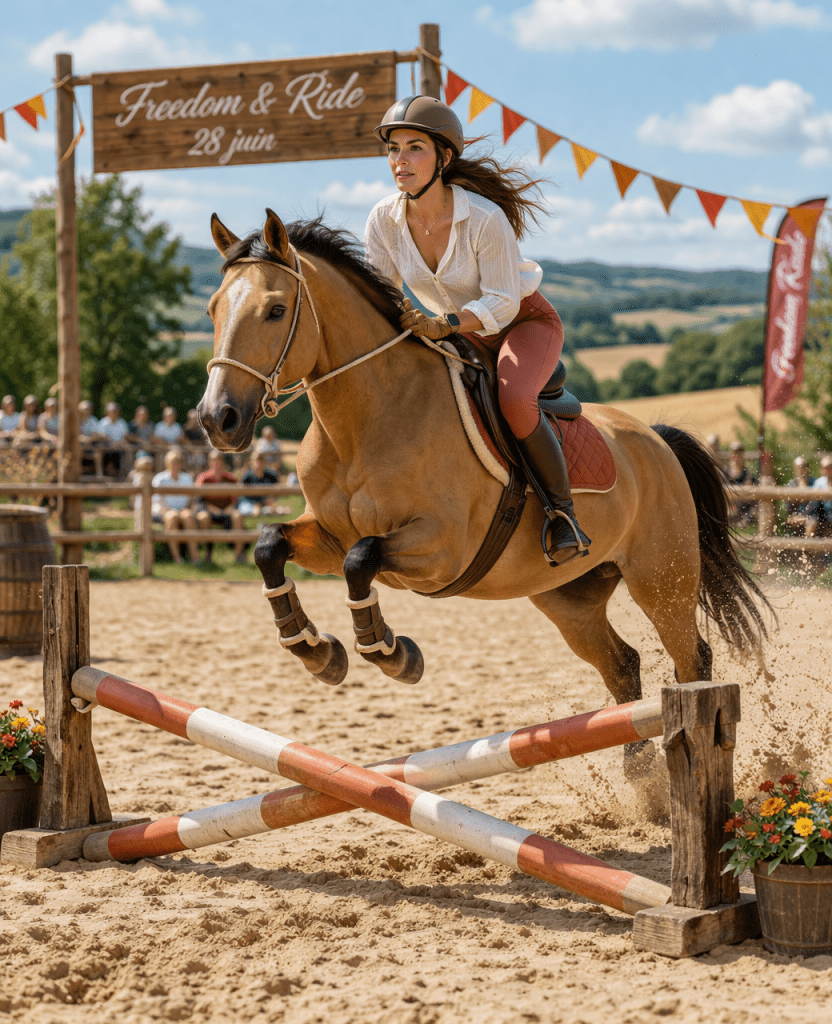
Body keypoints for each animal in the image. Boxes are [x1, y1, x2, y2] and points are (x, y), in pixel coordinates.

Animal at [197, 209, 769, 764]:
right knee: (621, 663)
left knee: (691, 657)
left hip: (661, 579)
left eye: (275, 310)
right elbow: (271, 545)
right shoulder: (328, 536)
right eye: (212, 310)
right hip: (569, 597)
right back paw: (641, 773)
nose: (216, 419)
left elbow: (362, 559)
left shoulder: (441, 549)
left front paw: (394, 654)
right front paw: (317, 651)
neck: (364, 420)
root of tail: (656, 440)